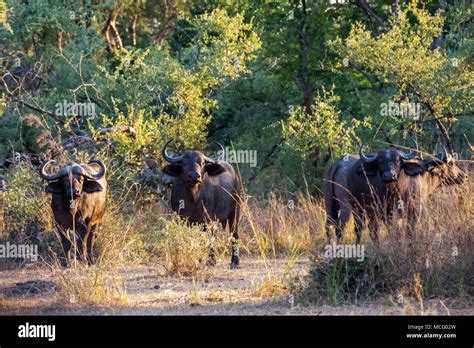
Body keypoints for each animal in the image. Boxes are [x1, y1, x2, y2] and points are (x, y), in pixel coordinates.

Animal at [163, 139, 243, 270]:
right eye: (184, 163)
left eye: (203, 162)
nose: (194, 176)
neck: (193, 199)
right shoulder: (182, 219)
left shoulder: (207, 220)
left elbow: (206, 239)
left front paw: (208, 260)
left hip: (235, 211)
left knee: (234, 234)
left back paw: (234, 262)